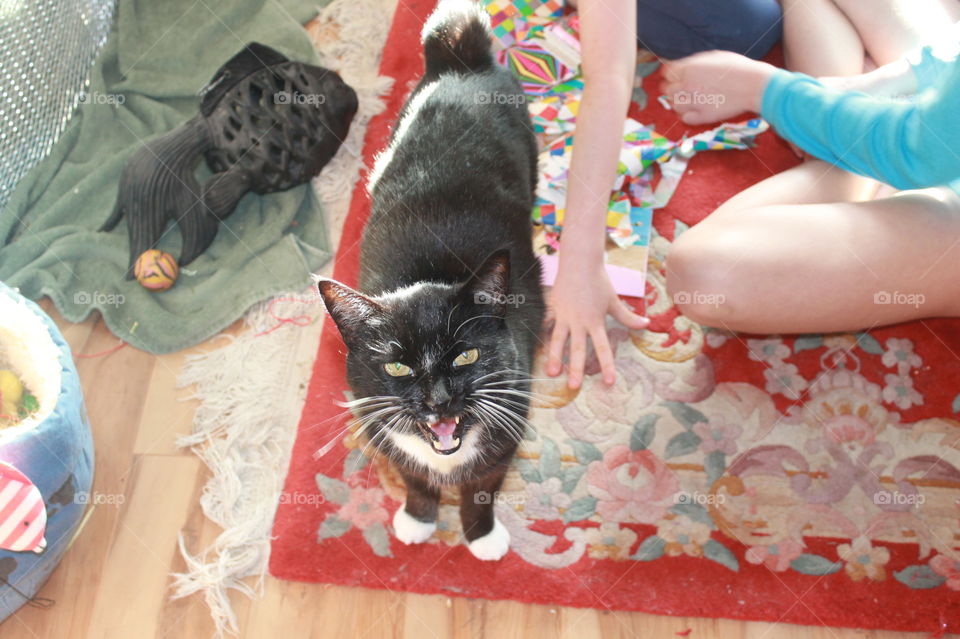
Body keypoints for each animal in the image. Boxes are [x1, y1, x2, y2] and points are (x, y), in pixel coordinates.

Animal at [318, 0, 544, 560]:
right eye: (397, 367)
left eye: (465, 356)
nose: (438, 401)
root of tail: (461, 60)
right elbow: (415, 479)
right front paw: (418, 519)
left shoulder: (510, 421)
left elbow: (483, 487)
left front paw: (481, 535)